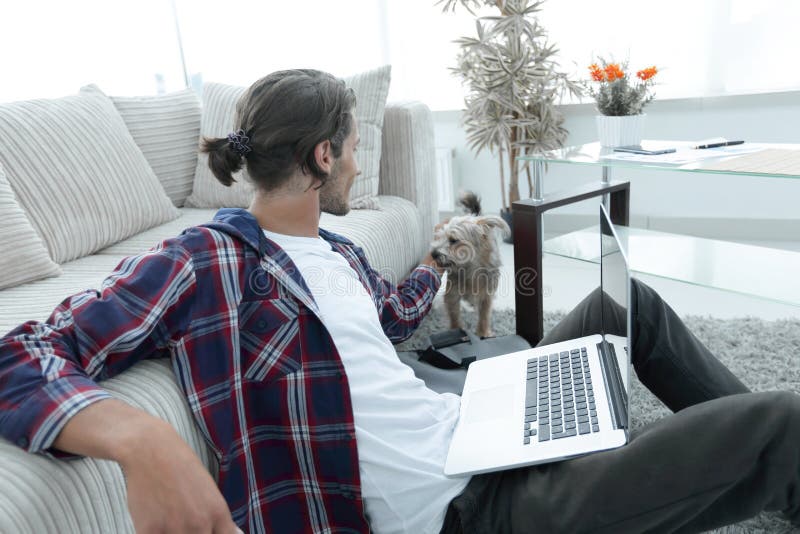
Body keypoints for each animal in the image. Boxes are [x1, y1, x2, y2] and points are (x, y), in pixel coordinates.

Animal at [434, 192, 510, 336]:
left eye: (453, 240)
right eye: (439, 238)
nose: (433, 253)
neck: (470, 267)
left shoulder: (487, 294)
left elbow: (484, 314)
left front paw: (483, 333)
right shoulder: (452, 294)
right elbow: (454, 314)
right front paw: (456, 330)